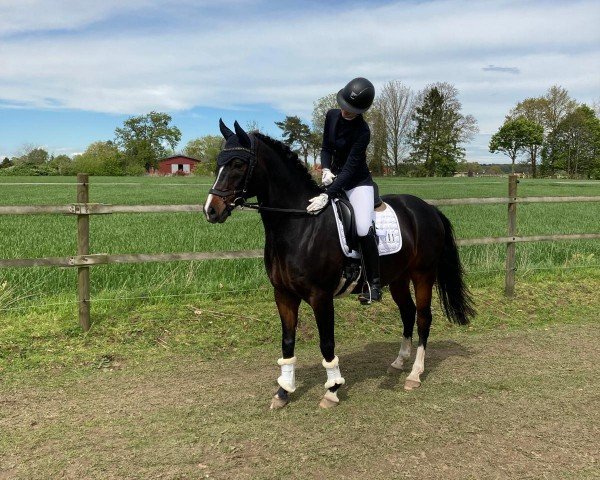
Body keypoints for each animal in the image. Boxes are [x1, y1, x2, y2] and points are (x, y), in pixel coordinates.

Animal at [204, 120, 476, 408]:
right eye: (219, 162)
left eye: (238, 164)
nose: (211, 210)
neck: (300, 223)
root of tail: (428, 208)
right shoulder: (283, 294)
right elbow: (287, 342)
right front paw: (283, 391)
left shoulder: (320, 296)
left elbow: (327, 343)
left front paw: (332, 390)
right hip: (398, 278)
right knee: (408, 312)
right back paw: (399, 362)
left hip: (422, 274)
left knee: (423, 316)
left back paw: (414, 374)